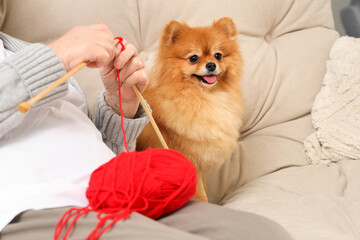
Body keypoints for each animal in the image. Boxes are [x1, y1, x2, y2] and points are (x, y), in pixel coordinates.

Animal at [136, 16, 243, 202]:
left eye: (218, 55)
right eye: (193, 58)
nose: (211, 65)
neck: (202, 97)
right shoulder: (192, 164)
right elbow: (200, 196)